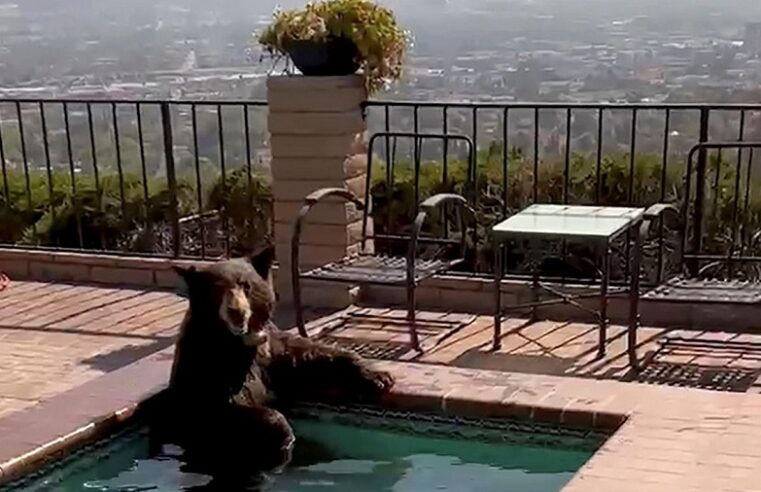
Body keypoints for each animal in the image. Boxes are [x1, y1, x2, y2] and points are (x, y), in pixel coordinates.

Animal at [152, 245, 394, 480]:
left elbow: (307, 355)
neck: (239, 342)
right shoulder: (206, 365)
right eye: (216, 289)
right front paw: (282, 431)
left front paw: (378, 377)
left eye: (246, 285)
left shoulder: (269, 351)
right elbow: (218, 408)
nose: (236, 311)